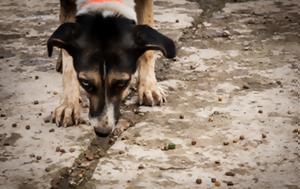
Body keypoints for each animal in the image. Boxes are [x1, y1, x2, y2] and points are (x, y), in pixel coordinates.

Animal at [47, 0, 176, 136]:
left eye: (122, 83)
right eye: (85, 83)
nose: (102, 132)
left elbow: (148, 52)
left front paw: (148, 87)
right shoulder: (67, 4)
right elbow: (68, 61)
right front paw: (68, 104)